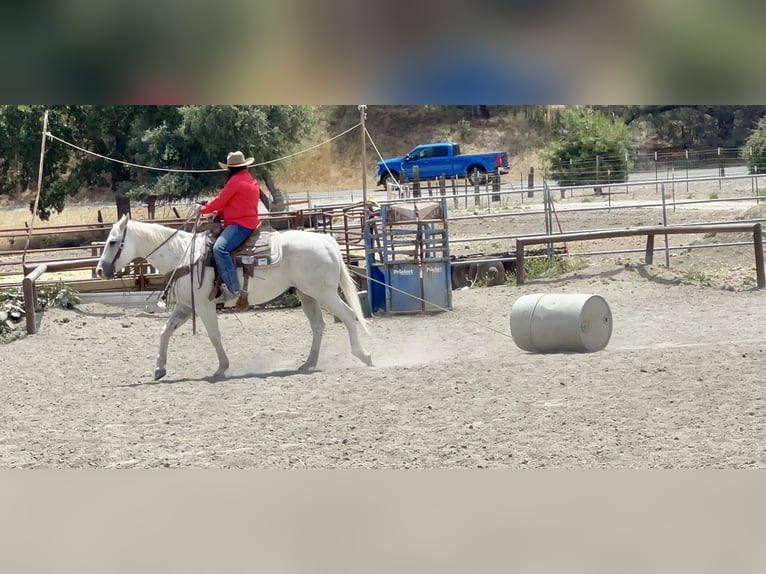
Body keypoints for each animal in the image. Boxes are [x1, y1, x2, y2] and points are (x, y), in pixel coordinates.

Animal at [97, 214, 374, 380]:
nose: (100, 270)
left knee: (348, 316)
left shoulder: (205, 307)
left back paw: (364, 355)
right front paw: (159, 368)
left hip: (324, 292)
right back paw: (308, 363)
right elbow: (165, 332)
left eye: (112, 242)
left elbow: (214, 335)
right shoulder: (186, 308)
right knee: (318, 325)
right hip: (308, 295)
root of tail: (326, 240)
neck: (183, 256)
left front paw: (221, 368)